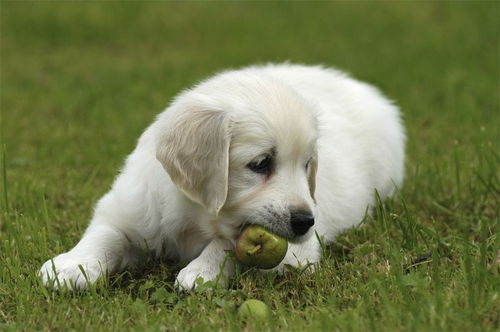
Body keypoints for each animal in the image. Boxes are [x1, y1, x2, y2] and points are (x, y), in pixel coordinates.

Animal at [40, 63, 406, 290]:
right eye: (261, 163)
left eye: (307, 166)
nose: (306, 222)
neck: (196, 217)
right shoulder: (129, 206)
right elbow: (105, 233)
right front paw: (72, 265)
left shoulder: (296, 254)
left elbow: (229, 243)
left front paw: (201, 272)